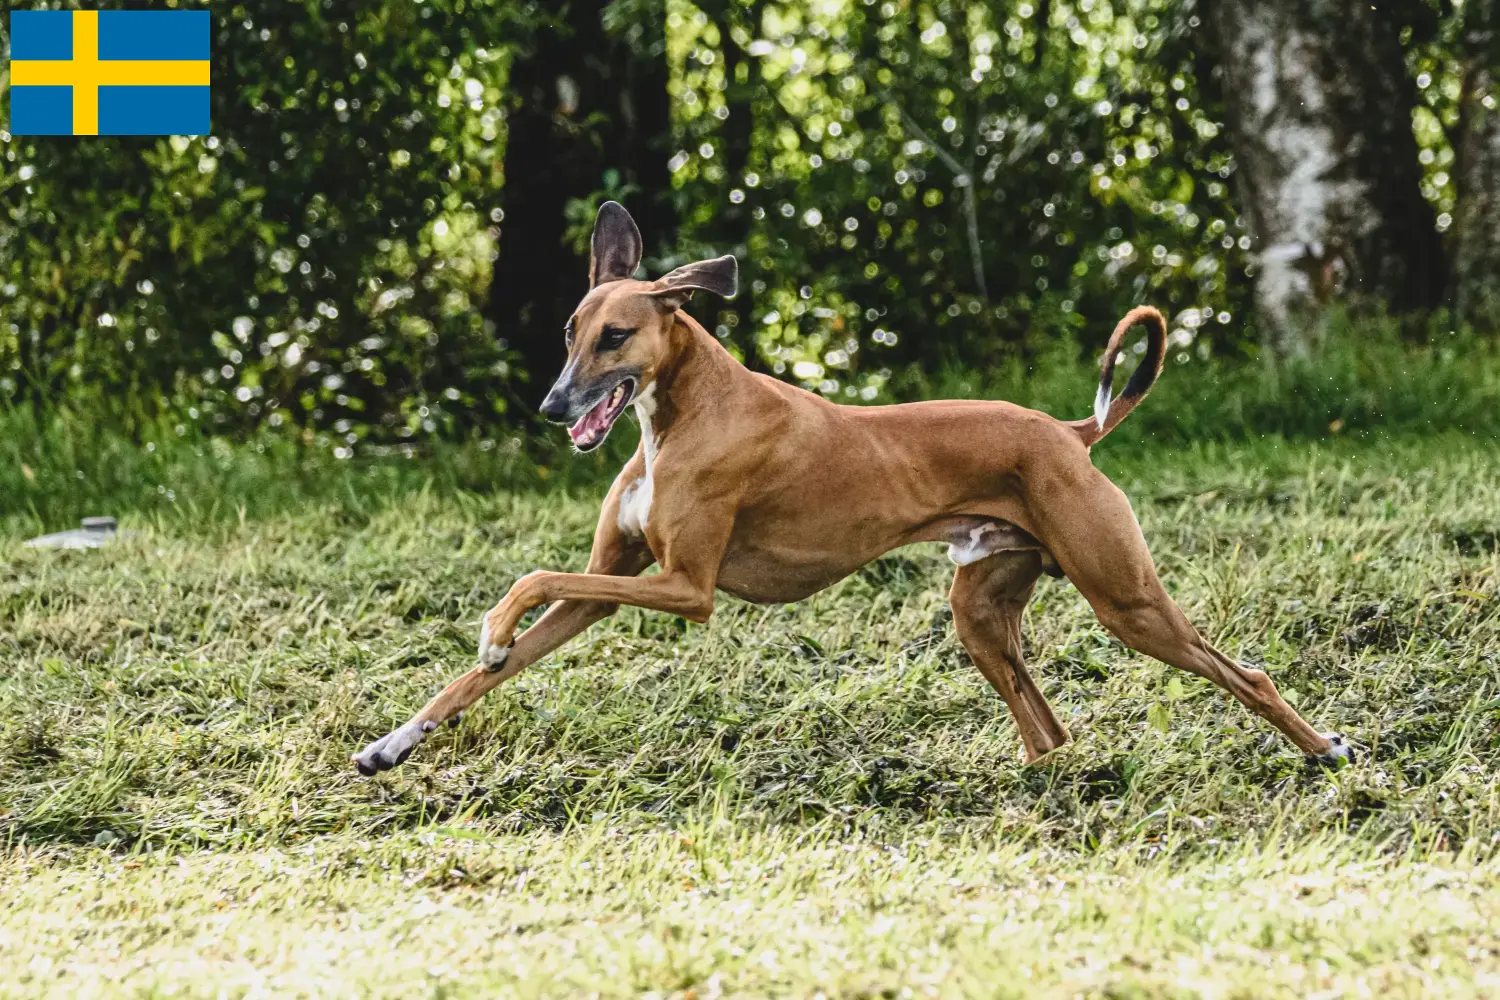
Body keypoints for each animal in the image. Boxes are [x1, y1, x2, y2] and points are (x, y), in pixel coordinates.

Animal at [354, 200, 1362, 773]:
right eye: (571, 329)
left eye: (617, 337)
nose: (553, 406)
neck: (683, 413)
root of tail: (1071, 434)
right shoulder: (611, 589)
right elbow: (476, 674)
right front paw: (390, 744)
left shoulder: (685, 588)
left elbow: (529, 580)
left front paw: (490, 625)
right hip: (980, 610)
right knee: (1049, 734)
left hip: (1127, 599)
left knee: (1245, 673)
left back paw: (1328, 751)